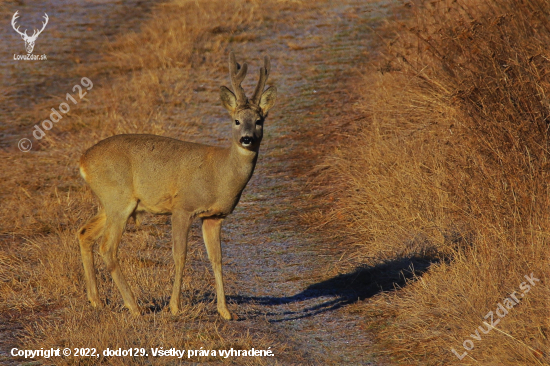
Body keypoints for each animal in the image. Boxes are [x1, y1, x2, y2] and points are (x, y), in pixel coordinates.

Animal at [77, 53, 276, 318]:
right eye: (236, 120)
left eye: (259, 120)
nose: (247, 138)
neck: (220, 174)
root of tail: (83, 161)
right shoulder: (182, 207)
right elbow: (180, 255)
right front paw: (175, 307)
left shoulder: (214, 216)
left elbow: (217, 259)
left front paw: (225, 311)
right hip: (118, 200)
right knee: (108, 247)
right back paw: (134, 306)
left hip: (108, 204)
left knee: (84, 233)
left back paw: (96, 301)